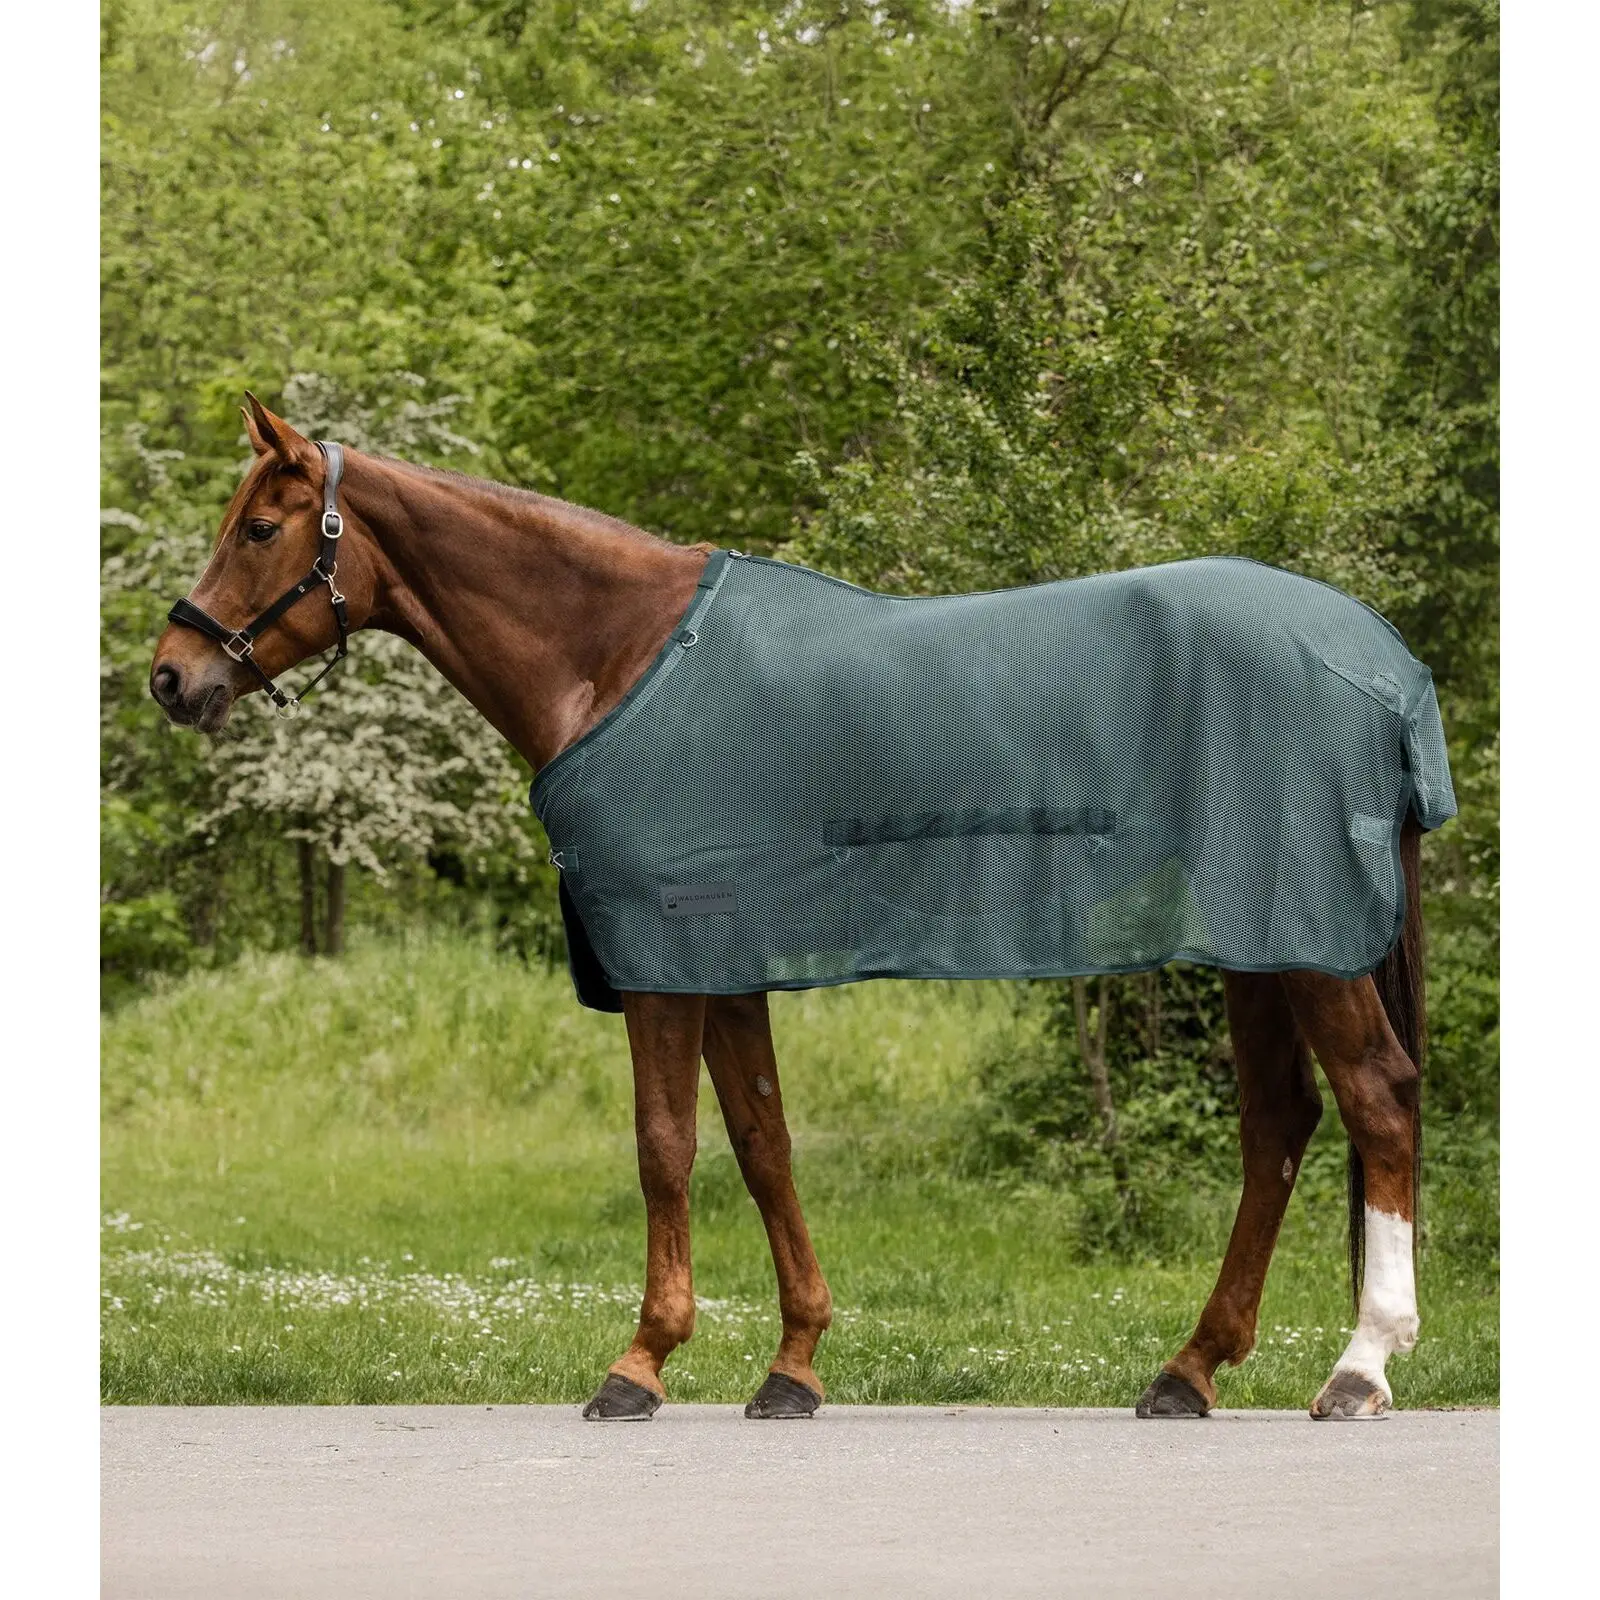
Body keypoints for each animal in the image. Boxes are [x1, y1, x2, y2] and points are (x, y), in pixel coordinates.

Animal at [149, 395, 1431, 1423]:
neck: (619, 655)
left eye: (257, 528)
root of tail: (1381, 660)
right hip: (1261, 941)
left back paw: (1359, 1368)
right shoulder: (724, 962)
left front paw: (640, 1362)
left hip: (1306, 946)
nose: (171, 674)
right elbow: (763, 1146)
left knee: (1375, 1101)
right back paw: (1189, 1369)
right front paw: (794, 1364)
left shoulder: (663, 952)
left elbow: (664, 1146)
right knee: (1278, 1125)